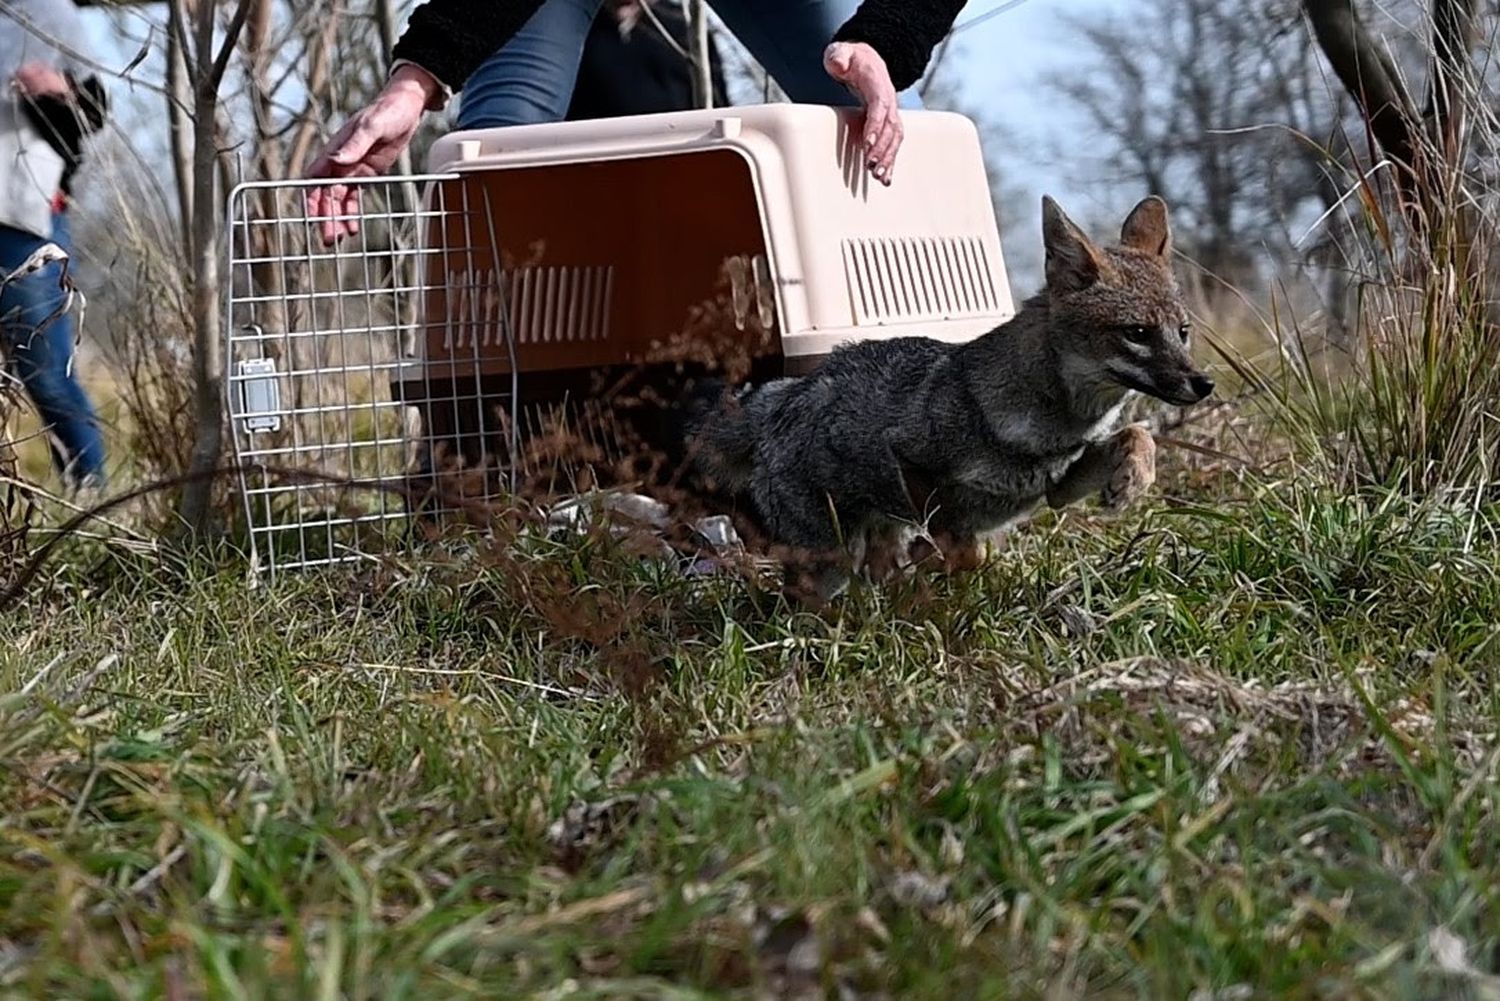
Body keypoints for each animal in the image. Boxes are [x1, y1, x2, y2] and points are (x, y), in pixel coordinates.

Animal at [675, 192, 1212, 591]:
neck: (1048, 423)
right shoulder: (911, 459)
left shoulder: (1056, 488)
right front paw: (938, 558)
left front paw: (1133, 480)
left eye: (1183, 332)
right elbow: (964, 546)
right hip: (828, 557)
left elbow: (1139, 434)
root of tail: (781, 395)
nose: (1203, 384)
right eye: (1137, 333)